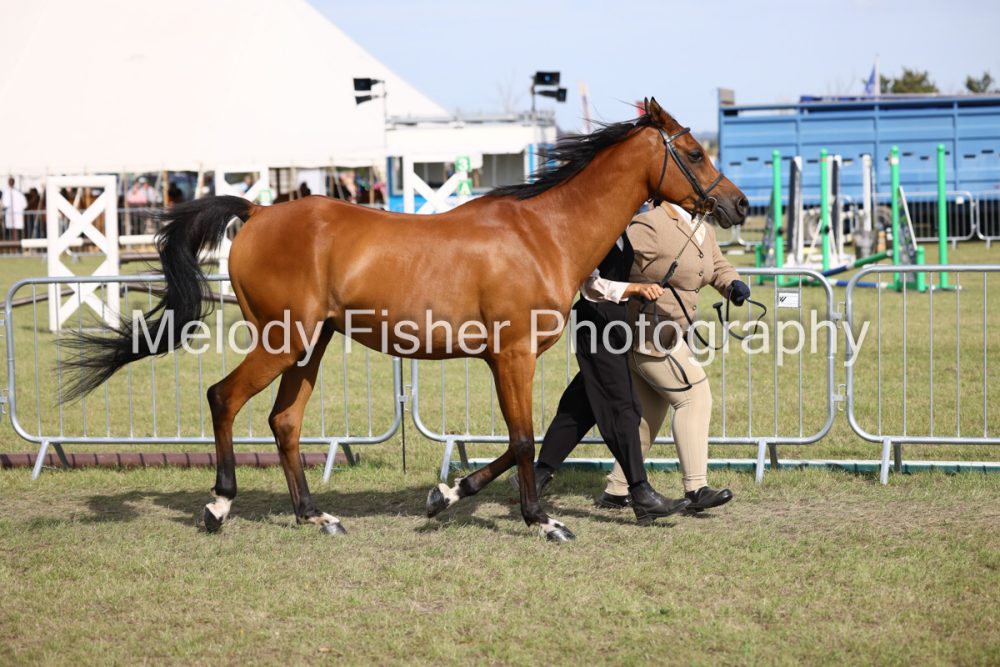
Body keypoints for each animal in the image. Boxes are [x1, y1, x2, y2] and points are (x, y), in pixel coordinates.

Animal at [61, 98, 748, 541]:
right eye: (692, 152)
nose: (738, 205)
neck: (543, 233)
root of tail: (256, 213)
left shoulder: (505, 359)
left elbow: (518, 441)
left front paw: (447, 495)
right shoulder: (512, 356)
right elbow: (524, 439)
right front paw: (537, 518)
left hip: (309, 347)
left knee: (284, 421)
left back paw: (314, 515)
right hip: (283, 341)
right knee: (223, 398)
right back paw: (218, 507)